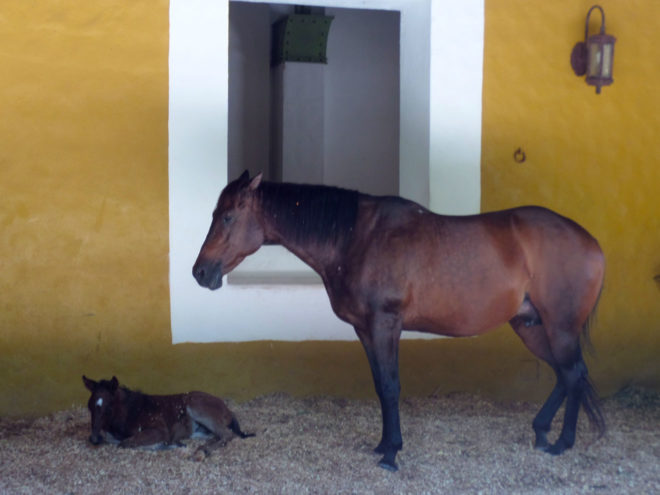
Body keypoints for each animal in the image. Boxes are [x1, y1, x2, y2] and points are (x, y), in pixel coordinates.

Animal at [84, 376, 254, 454]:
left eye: (108, 408)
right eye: (89, 406)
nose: (94, 439)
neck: (132, 411)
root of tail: (227, 409)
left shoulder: (159, 430)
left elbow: (126, 443)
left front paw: (160, 445)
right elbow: (116, 440)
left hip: (199, 410)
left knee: (227, 435)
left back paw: (203, 452)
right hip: (201, 430)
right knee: (217, 435)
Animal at [189, 172, 604, 470]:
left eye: (227, 216)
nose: (200, 272)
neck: (355, 238)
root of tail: (591, 243)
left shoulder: (385, 324)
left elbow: (390, 386)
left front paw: (391, 456)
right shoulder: (365, 329)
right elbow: (379, 386)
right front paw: (383, 445)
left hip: (559, 327)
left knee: (572, 373)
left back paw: (562, 443)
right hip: (530, 325)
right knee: (567, 374)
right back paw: (542, 433)